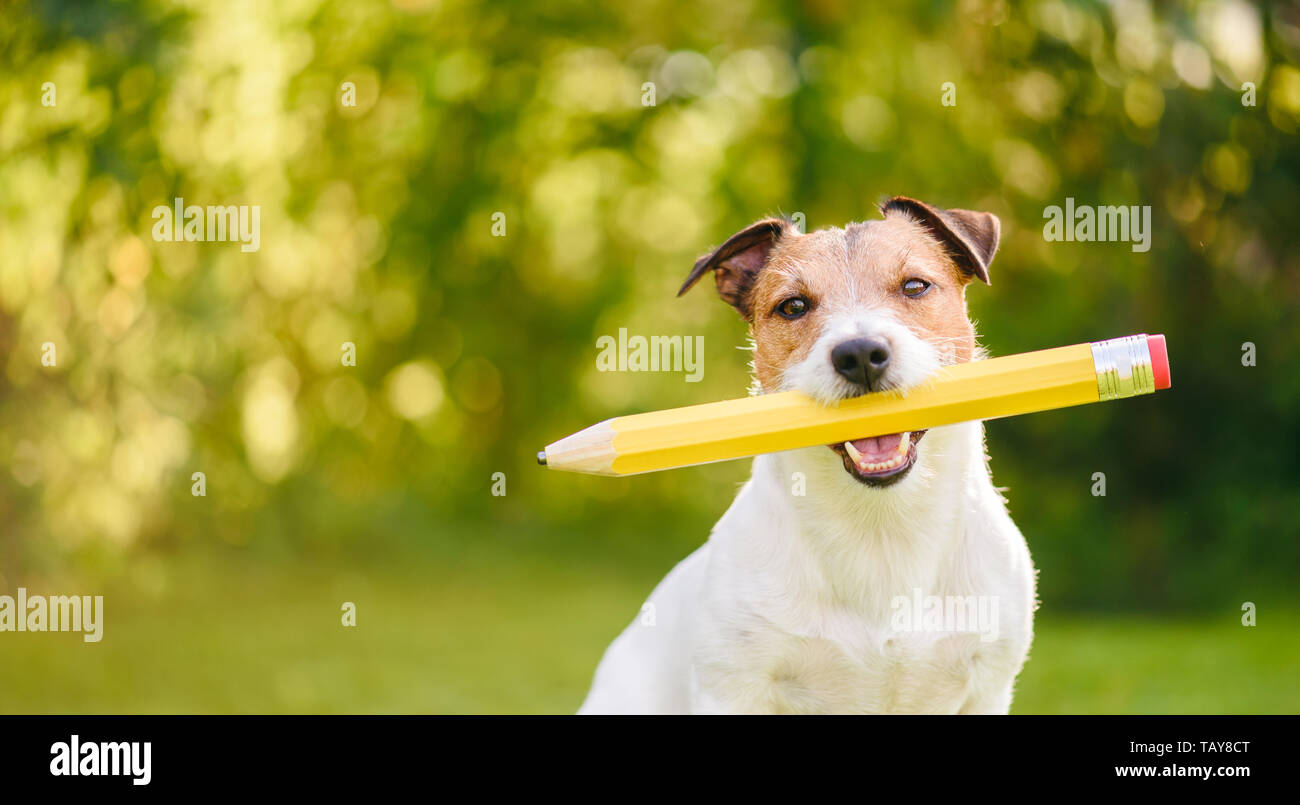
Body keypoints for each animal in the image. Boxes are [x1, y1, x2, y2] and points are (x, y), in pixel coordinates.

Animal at [579, 198, 1034, 712]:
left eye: (915, 285)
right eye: (793, 306)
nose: (860, 354)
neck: (880, 529)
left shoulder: (989, 686)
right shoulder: (731, 688)